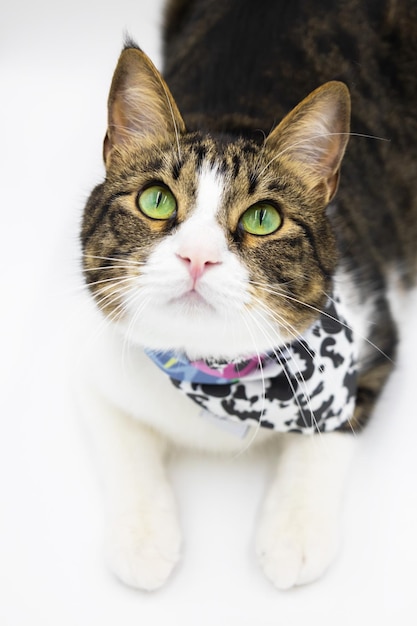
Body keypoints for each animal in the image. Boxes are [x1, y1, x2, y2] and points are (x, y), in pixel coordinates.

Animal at [76, 0, 416, 588]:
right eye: (156, 200)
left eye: (263, 218)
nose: (198, 257)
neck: (212, 367)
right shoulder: (100, 363)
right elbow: (120, 435)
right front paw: (143, 539)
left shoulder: (373, 330)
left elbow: (332, 428)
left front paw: (293, 533)